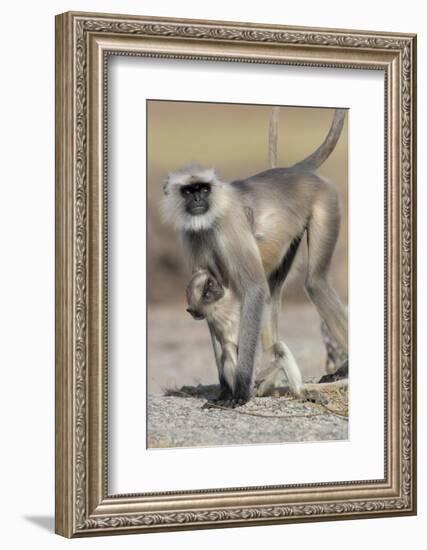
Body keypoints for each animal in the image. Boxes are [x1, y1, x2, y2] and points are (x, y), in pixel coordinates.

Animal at [186, 270, 304, 404]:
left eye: (210, 283)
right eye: (206, 294)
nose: (216, 287)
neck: (221, 305)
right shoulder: (214, 321)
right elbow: (227, 342)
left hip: (265, 373)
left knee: (280, 348)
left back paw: (299, 394)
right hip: (257, 376)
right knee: (229, 348)